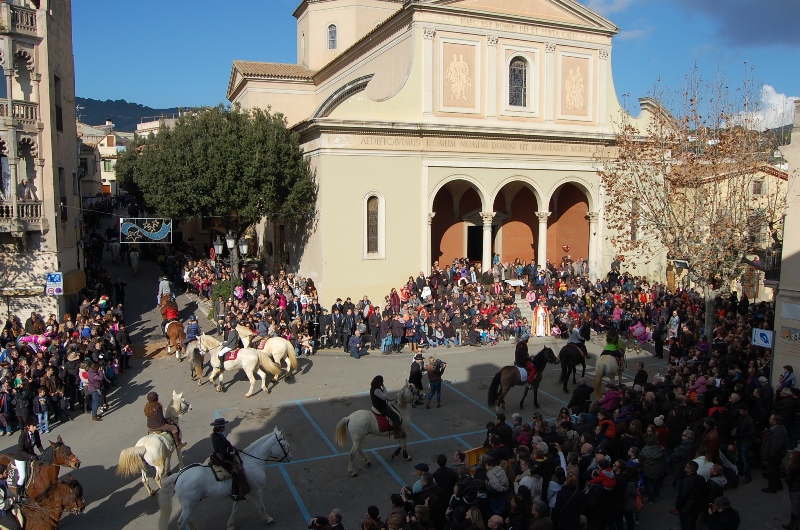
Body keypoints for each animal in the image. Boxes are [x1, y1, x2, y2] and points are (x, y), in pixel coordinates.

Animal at [158, 424, 292, 528]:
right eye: (285, 446)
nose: (290, 458)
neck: (252, 462)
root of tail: (179, 474)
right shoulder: (255, 490)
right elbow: (261, 506)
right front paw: (268, 519)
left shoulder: (240, 493)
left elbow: (235, 509)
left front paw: (230, 525)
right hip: (189, 505)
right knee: (181, 522)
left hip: (187, 506)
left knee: (185, 520)